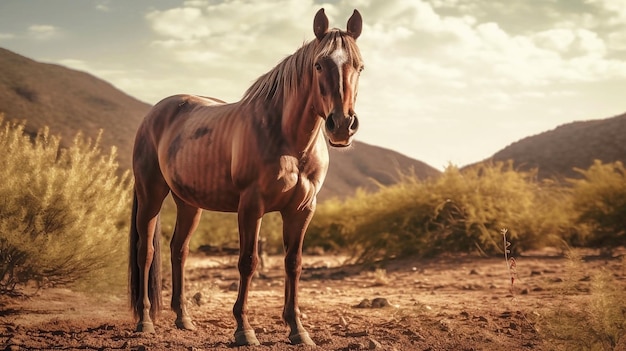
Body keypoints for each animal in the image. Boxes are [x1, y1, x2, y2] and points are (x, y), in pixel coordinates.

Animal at [128, 7, 360, 346]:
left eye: (359, 66)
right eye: (318, 65)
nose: (342, 125)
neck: (289, 140)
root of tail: (153, 115)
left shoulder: (302, 210)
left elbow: (293, 263)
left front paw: (298, 329)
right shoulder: (252, 206)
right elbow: (248, 262)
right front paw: (243, 329)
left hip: (189, 203)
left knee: (178, 250)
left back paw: (184, 319)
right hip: (151, 195)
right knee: (146, 252)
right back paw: (145, 321)